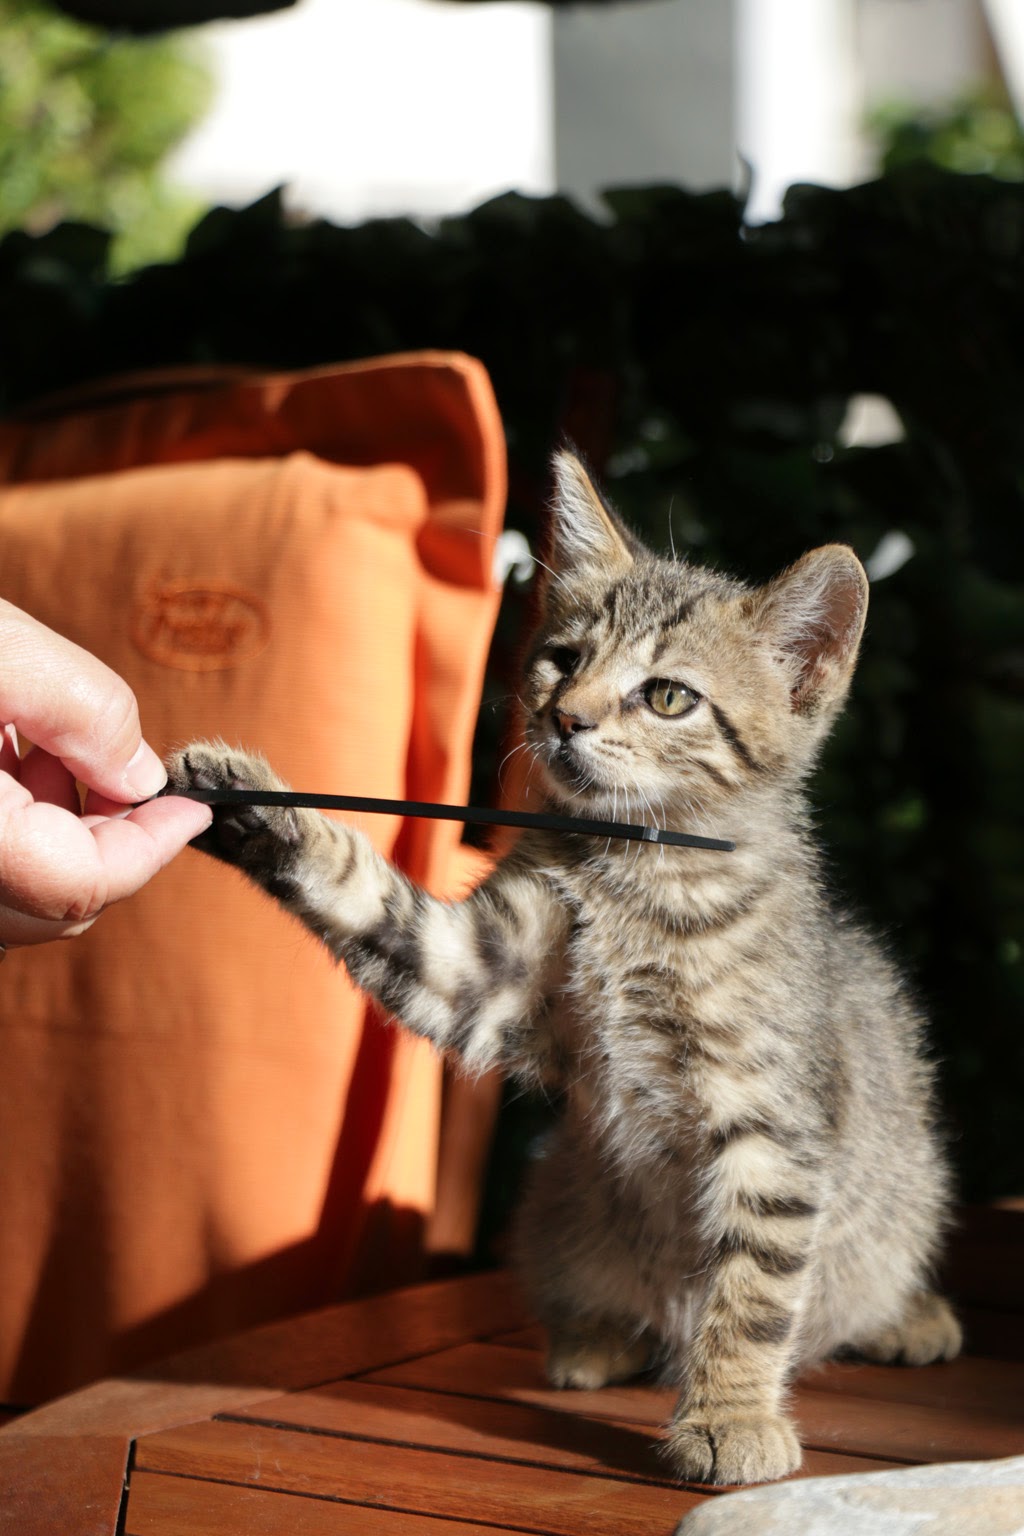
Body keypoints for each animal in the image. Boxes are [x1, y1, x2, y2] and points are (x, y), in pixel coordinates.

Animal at [168, 448, 964, 1480]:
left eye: (669, 695)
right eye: (564, 658)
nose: (564, 718)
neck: (637, 876)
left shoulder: (771, 1121)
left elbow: (753, 1286)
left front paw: (731, 1415)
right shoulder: (488, 974)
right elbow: (369, 897)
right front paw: (259, 810)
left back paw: (908, 1315)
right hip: (559, 1201)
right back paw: (599, 1336)